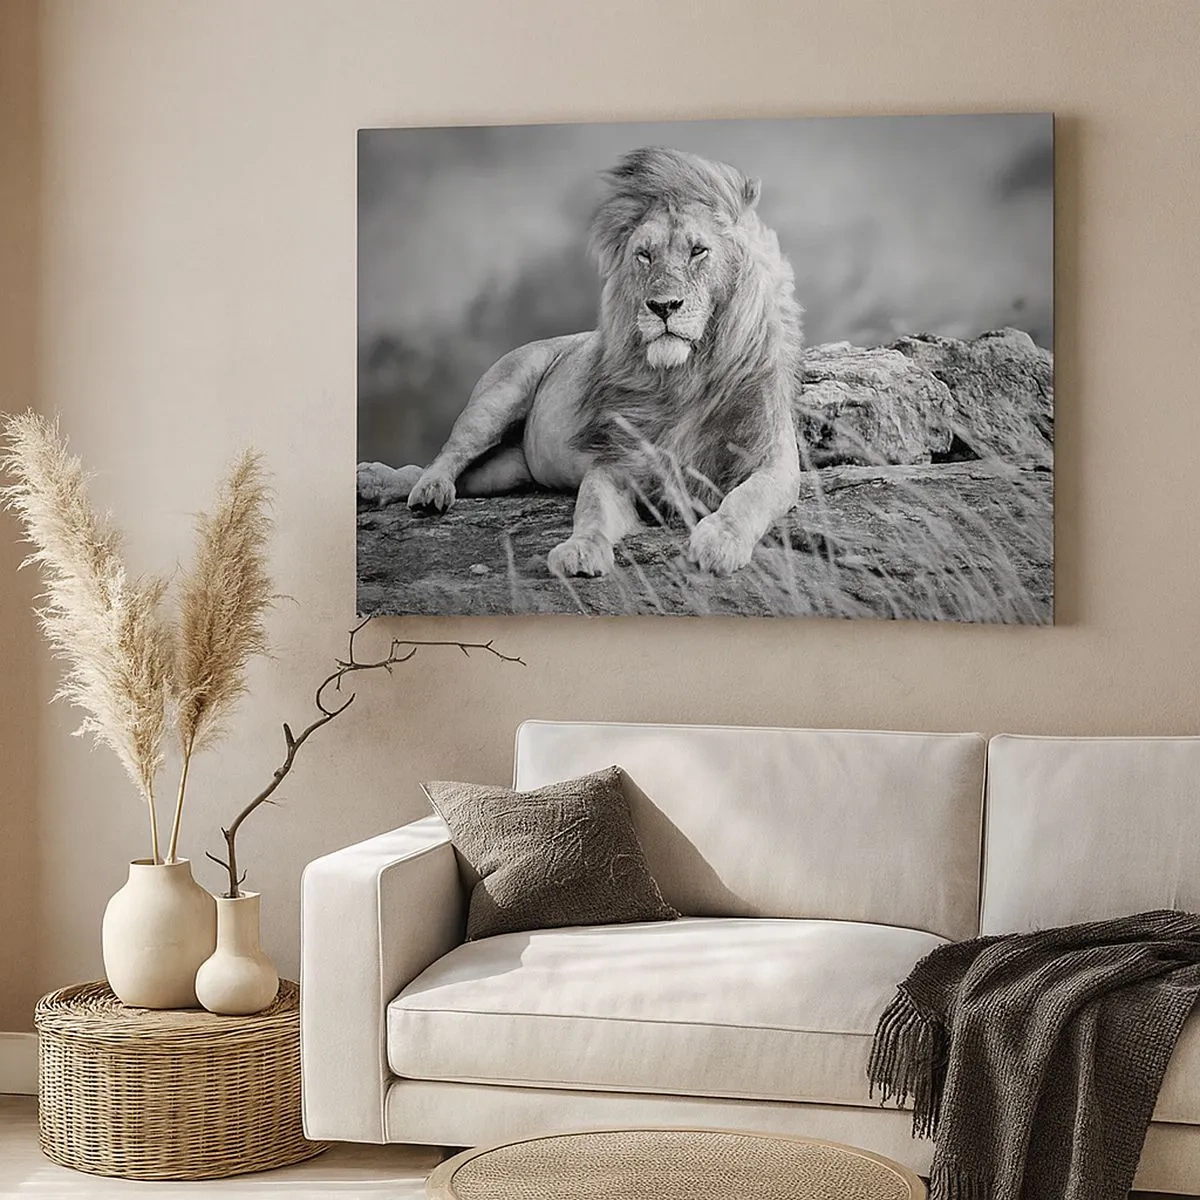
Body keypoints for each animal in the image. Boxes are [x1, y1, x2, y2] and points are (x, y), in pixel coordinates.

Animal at [357, 145, 804, 577]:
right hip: (497, 398)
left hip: (506, 470)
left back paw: (380, 484)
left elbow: (749, 497)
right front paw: (580, 551)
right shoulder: (615, 462)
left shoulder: (773, 458)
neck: (683, 379)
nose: (662, 307)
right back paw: (419, 489)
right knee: (446, 456)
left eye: (699, 251)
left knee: (459, 475)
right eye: (644, 256)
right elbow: (591, 509)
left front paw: (719, 542)